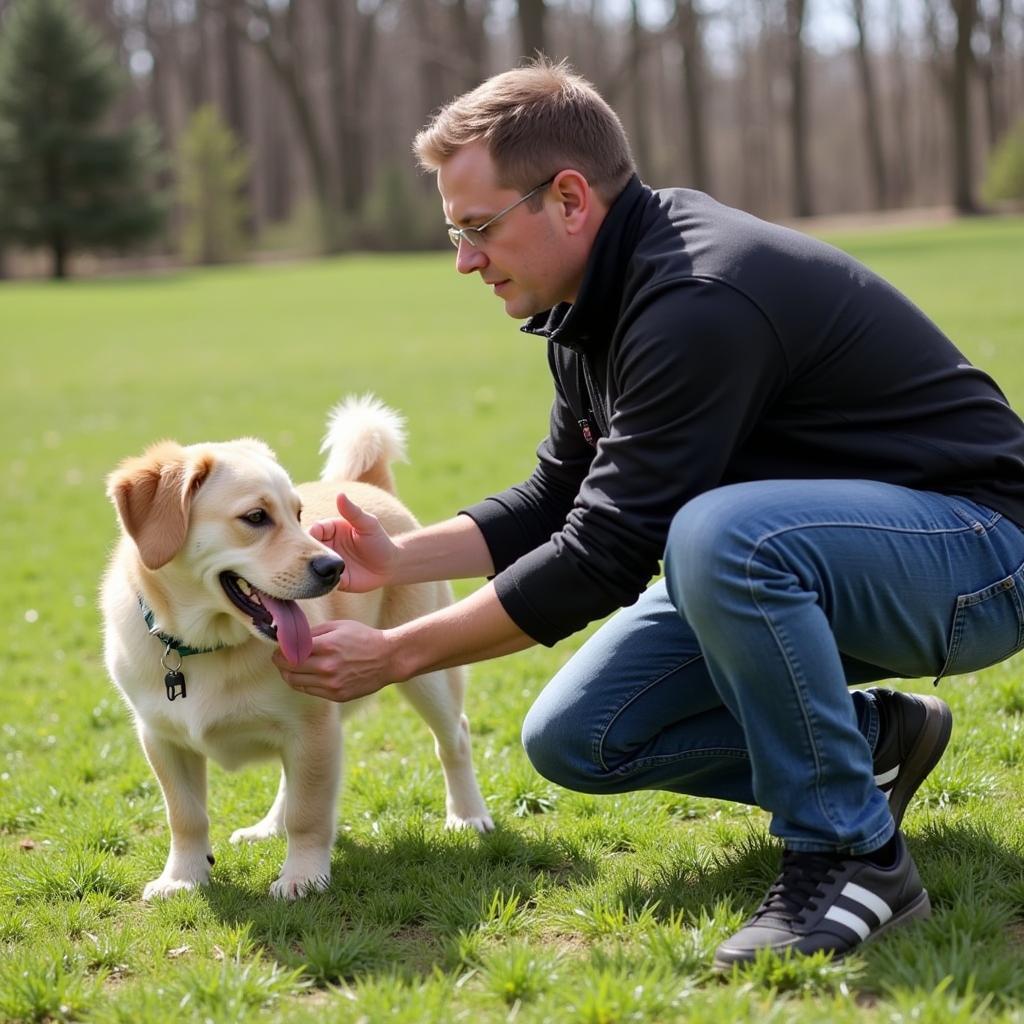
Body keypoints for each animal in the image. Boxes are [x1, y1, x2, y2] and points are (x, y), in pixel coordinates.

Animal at [101, 395, 493, 901]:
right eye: (255, 517)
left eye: (300, 515)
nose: (335, 566)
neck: (207, 647)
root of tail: (364, 485)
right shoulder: (162, 739)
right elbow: (185, 815)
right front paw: (183, 878)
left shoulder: (314, 728)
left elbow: (308, 815)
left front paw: (302, 877)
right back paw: (267, 828)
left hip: (427, 676)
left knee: (455, 739)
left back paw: (467, 815)